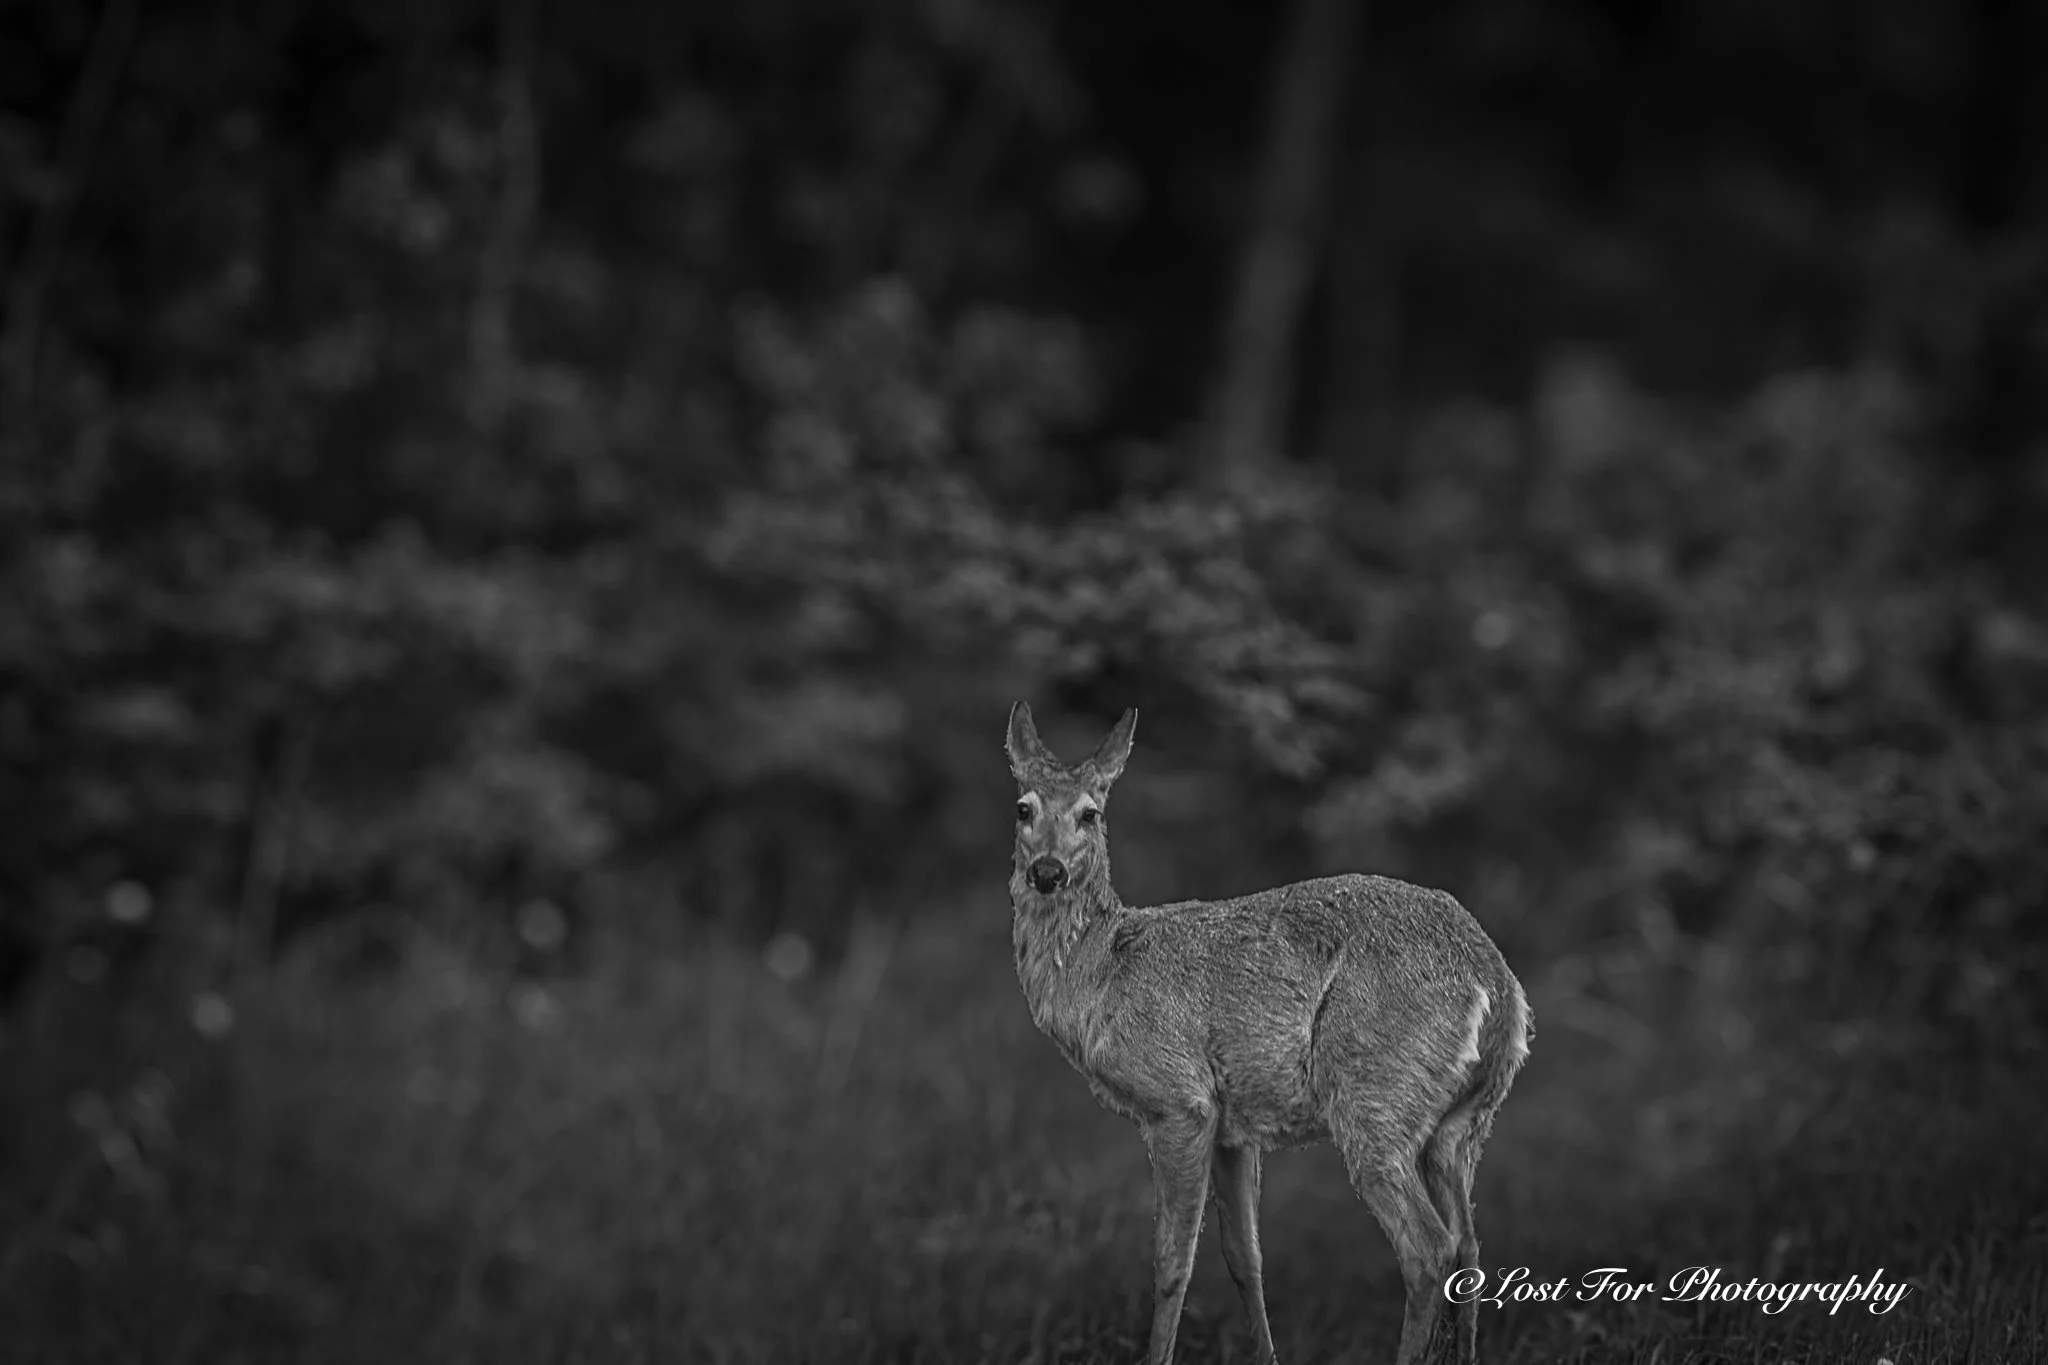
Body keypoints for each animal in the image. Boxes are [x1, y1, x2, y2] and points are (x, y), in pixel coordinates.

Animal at [1004, 702, 1530, 1365]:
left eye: (1089, 813)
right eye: (1024, 807)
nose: (1046, 871)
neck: (1102, 974)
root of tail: (1497, 984)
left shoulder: (1181, 1100)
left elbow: (1172, 1262)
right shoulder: (1236, 1126)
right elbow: (1245, 1258)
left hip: (1375, 1094)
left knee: (1427, 1248)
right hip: (1463, 1124)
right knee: (1468, 1245)